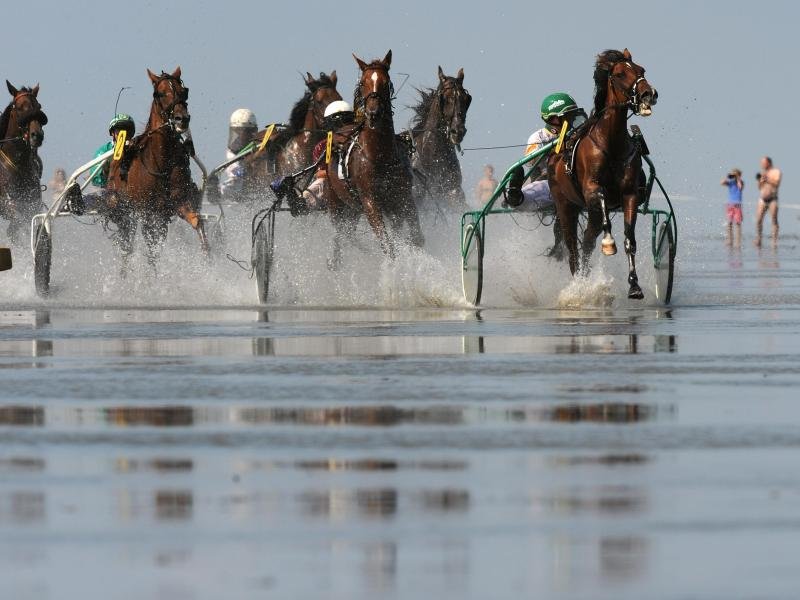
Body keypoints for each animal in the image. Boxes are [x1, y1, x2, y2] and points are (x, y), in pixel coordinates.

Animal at [0, 82, 47, 244]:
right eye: (20, 107)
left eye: (38, 106)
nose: (37, 135)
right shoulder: (8, 206)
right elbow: (14, 227)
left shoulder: (32, 207)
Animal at [104, 66, 208, 272]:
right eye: (159, 93)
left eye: (184, 91)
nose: (181, 119)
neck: (161, 162)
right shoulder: (148, 214)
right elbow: (150, 252)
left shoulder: (178, 204)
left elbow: (198, 223)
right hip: (124, 214)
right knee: (127, 248)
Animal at [324, 50, 424, 266]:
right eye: (363, 83)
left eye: (386, 82)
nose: (373, 113)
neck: (380, 155)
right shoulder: (370, 201)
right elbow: (388, 245)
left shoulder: (403, 197)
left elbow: (416, 238)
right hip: (337, 204)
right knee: (340, 234)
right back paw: (334, 261)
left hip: (357, 210)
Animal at [552, 49, 656, 300]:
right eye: (619, 74)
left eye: (641, 69)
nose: (648, 94)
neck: (612, 144)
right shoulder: (592, 189)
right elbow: (601, 200)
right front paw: (609, 243)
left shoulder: (629, 195)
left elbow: (630, 239)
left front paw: (634, 285)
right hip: (565, 205)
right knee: (573, 246)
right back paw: (578, 284)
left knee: (588, 241)